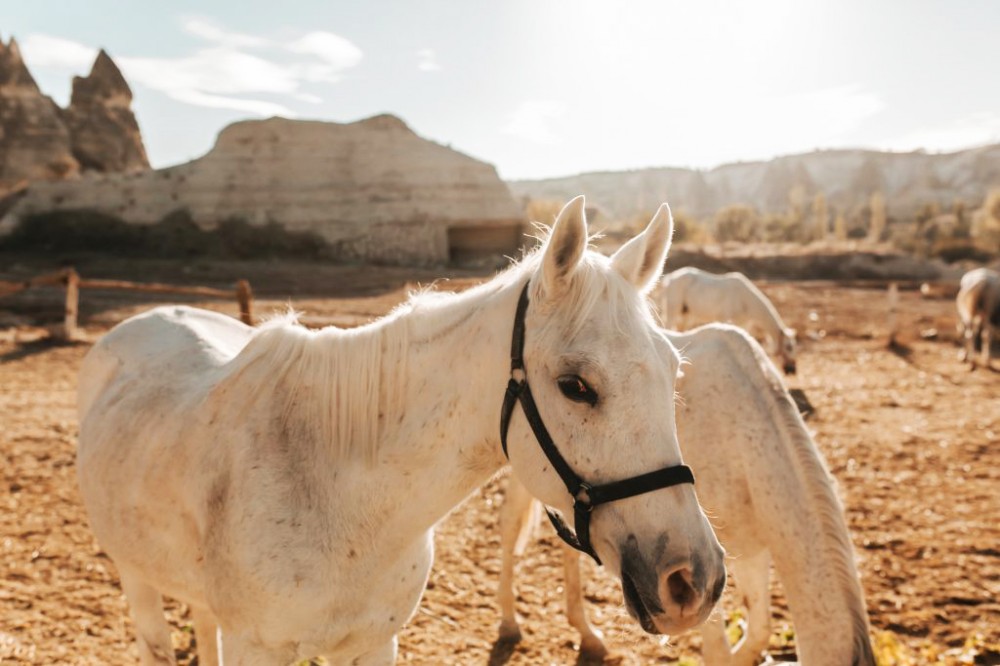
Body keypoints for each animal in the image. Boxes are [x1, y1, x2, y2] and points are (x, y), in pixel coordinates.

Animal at [74, 197, 724, 664]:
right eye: (575, 385)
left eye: (673, 370)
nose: (694, 580)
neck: (341, 498)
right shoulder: (255, 647)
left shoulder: (373, 644)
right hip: (137, 578)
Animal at [500, 322, 876, 664]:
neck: (741, 439)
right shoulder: (700, 580)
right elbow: (720, 650)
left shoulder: (750, 552)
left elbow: (758, 632)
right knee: (509, 532)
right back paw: (509, 625)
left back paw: (588, 636)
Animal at [656, 268, 796, 376]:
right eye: (788, 347)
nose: (792, 370)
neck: (745, 300)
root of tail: (670, 278)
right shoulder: (725, 319)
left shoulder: (744, 324)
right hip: (673, 310)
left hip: (686, 314)